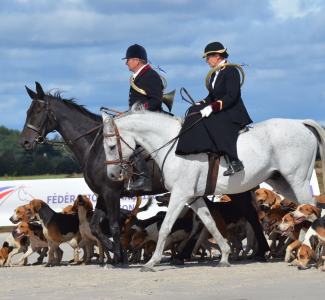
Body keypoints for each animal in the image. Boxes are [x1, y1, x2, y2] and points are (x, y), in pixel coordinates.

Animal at [19, 82, 166, 262]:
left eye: (39, 111)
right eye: (28, 112)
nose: (24, 142)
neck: (97, 148)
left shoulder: (111, 193)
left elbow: (115, 226)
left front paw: (118, 255)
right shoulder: (103, 194)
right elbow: (95, 227)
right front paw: (115, 252)